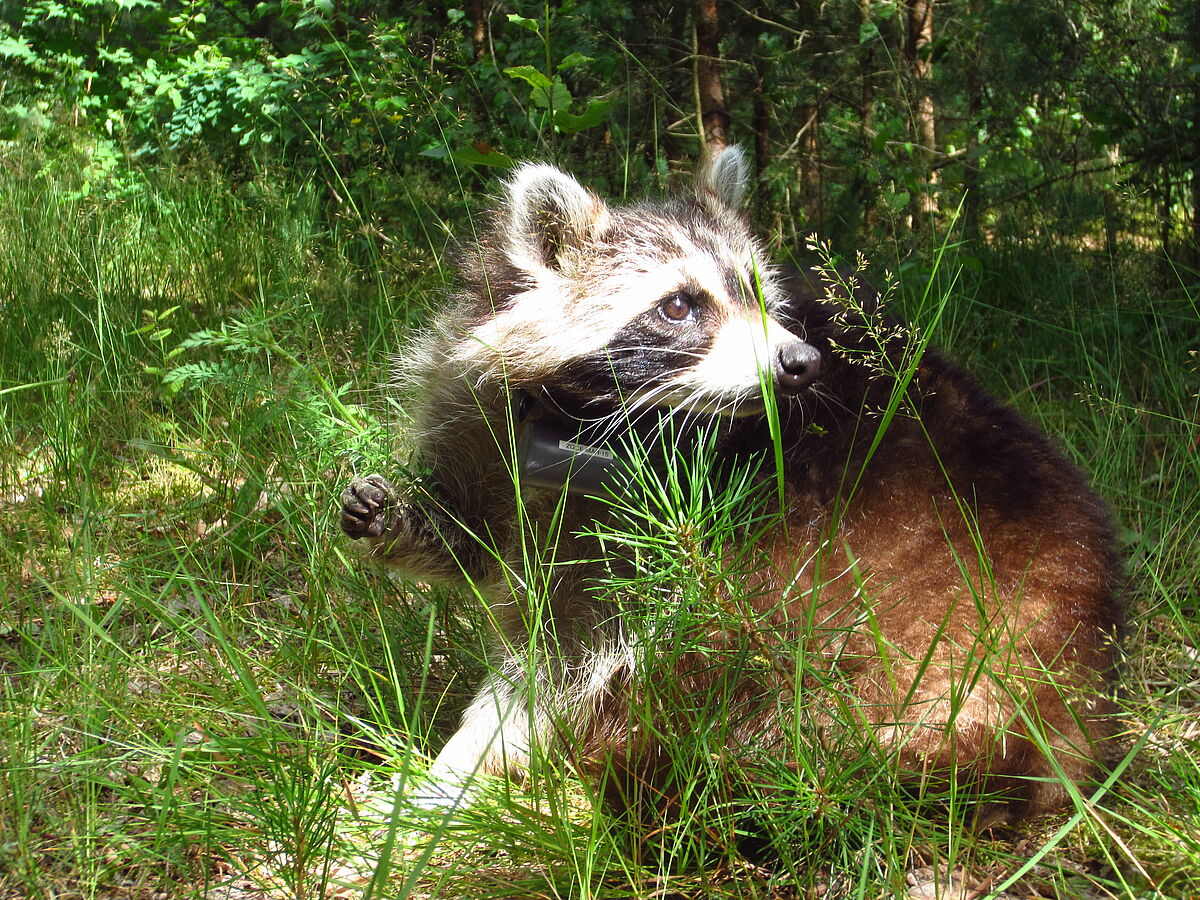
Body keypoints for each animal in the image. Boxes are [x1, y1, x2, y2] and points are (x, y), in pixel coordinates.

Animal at [340, 146, 1123, 825]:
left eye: (756, 292)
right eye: (678, 305)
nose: (800, 363)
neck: (580, 415)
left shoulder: (669, 522)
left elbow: (563, 659)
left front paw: (460, 767)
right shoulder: (482, 419)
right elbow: (476, 538)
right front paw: (402, 520)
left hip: (914, 622)